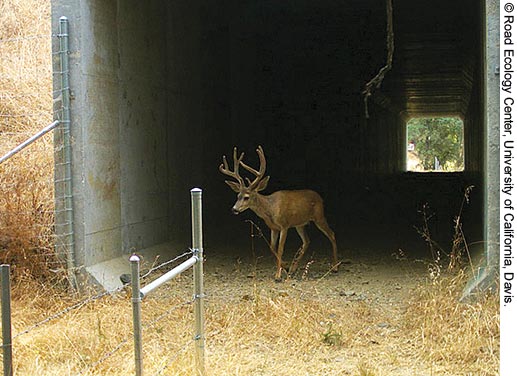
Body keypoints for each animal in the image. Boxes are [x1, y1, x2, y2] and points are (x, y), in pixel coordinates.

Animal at [218, 145, 338, 280]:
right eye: (238, 196)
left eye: (246, 197)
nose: (234, 209)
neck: (270, 209)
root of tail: (320, 198)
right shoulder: (273, 228)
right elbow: (272, 247)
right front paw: (285, 267)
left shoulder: (284, 225)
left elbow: (280, 248)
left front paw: (278, 275)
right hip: (300, 224)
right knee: (307, 241)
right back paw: (293, 269)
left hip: (319, 216)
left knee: (331, 234)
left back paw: (335, 267)